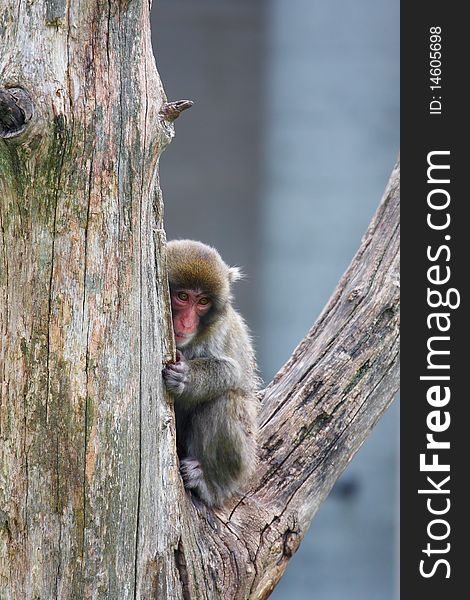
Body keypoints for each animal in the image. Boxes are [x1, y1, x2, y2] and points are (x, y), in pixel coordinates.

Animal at [163, 239, 258, 506]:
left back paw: (211, 482)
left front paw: (186, 377)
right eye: (183, 296)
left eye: (203, 302)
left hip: (245, 459)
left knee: (224, 399)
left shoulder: (219, 329)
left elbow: (232, 372)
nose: (186, 323)